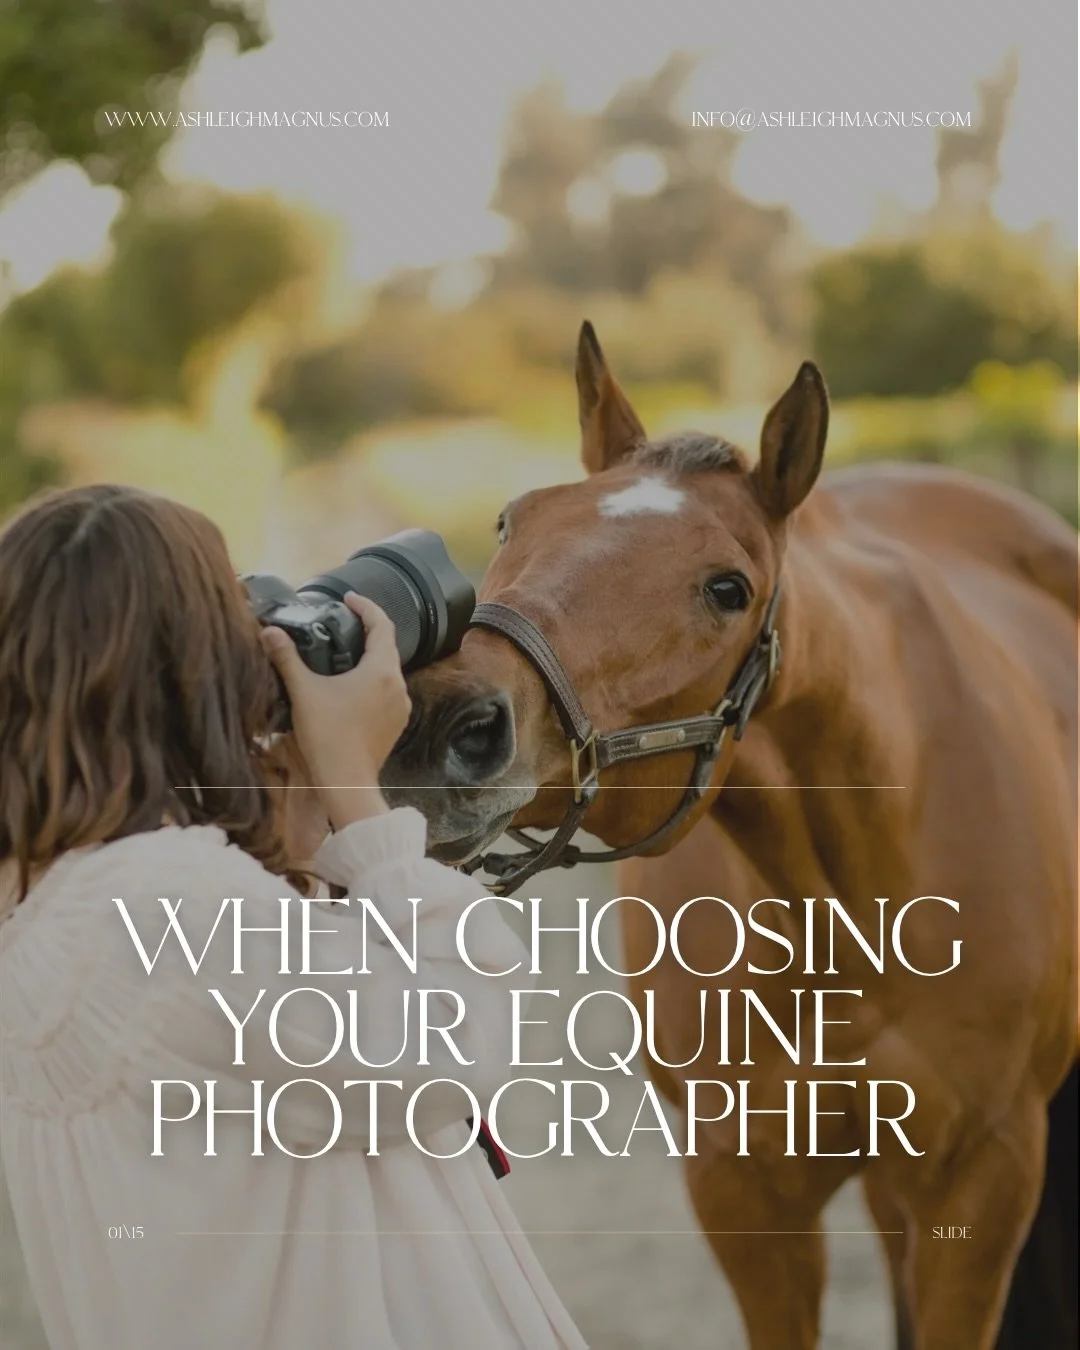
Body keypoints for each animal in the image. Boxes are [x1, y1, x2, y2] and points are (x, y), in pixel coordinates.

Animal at [382, 322, 1078, 1350]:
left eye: (727, 588)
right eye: (513, 522)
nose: (440, 723)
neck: (846, 911)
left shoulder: (985, 1180)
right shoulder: (742, 1188)